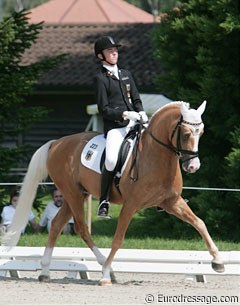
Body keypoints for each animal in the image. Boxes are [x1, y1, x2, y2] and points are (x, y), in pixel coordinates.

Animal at [1, 101, 225, 284]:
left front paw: (218, 261)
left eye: (201, 133)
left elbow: (199, 223)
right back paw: (105, 267)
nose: (193, 166)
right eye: (186, 134)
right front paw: (105, 274)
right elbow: (118, 239)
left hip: (76, 195)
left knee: (56, 225)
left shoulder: (171, 202)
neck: (155, 156)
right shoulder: (131, 205)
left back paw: (45, 271)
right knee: (82, 228)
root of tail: (56, 143)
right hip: (73, 194)